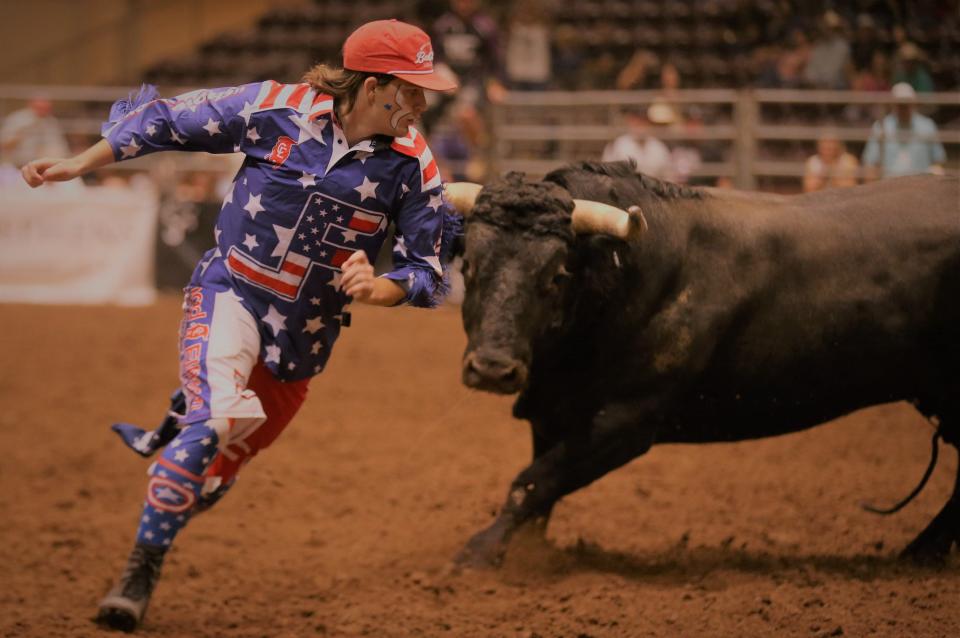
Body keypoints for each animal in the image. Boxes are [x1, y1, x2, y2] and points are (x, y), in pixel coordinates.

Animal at [450, 165, 960, 568]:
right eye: (468, 265)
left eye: (557, 275)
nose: (492, 369)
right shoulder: (553, 413)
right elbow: (542, 492)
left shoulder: (626, 423)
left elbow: (533, 482)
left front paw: (478, 554)